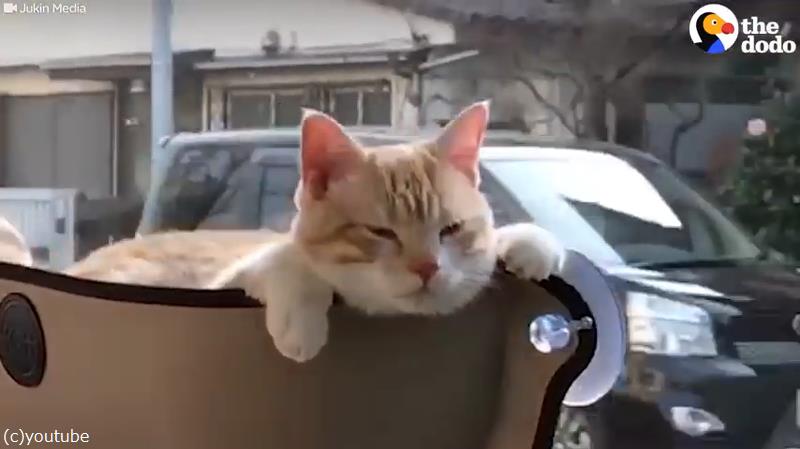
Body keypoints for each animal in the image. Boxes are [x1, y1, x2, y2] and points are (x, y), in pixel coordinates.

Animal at [65, 101, 566, 363]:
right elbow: (289, 260)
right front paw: (301, 319)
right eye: (380, 232)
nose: (427, 267)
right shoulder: (225, 282)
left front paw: (527, 241)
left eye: (452, 229)